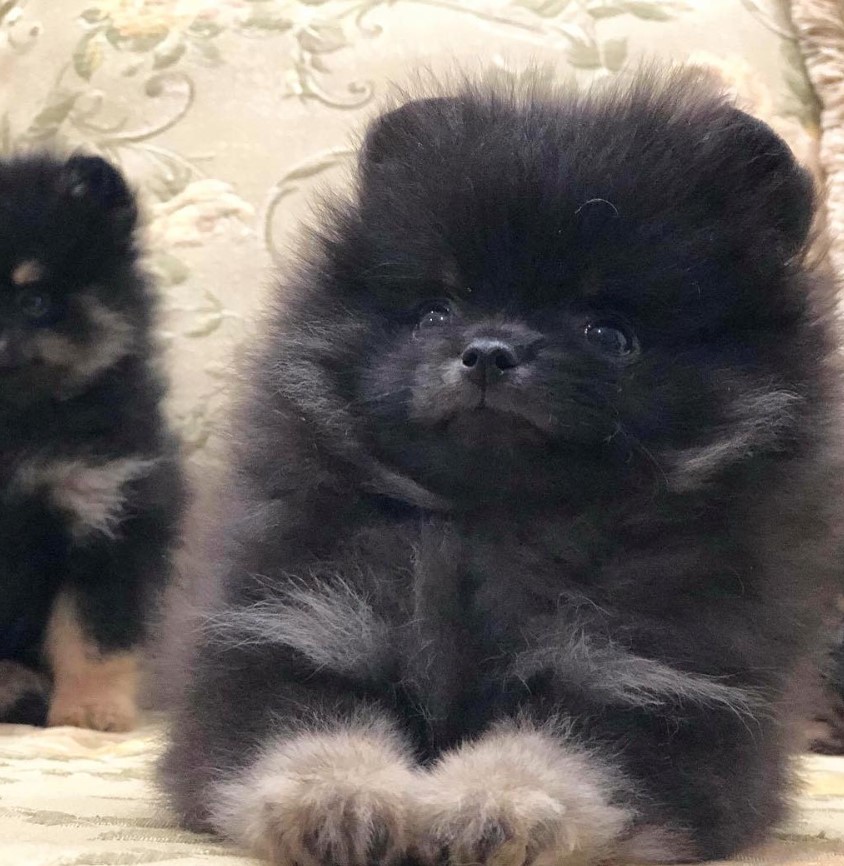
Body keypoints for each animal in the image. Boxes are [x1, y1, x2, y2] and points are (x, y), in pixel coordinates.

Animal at [160, 71, 844, 860]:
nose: (488, 349)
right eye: (434, 311)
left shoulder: (658, 682)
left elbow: (564, 750)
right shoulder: (286, 626)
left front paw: (494, 807)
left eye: (610, 333)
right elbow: (303, 729)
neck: (494, 521)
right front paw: (341, 802)